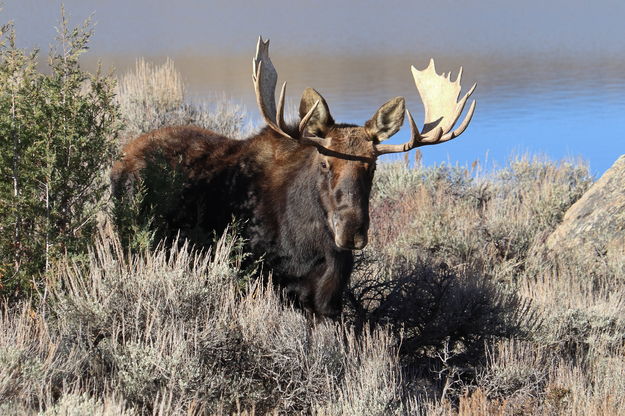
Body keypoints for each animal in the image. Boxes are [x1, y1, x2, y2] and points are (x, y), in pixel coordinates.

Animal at [109, 38, 476, 318]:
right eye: (325, 162)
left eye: (372, 166)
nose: (352, 230)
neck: (312, 247)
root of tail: (121, 157)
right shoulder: (269, 281)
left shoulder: (328, 299)